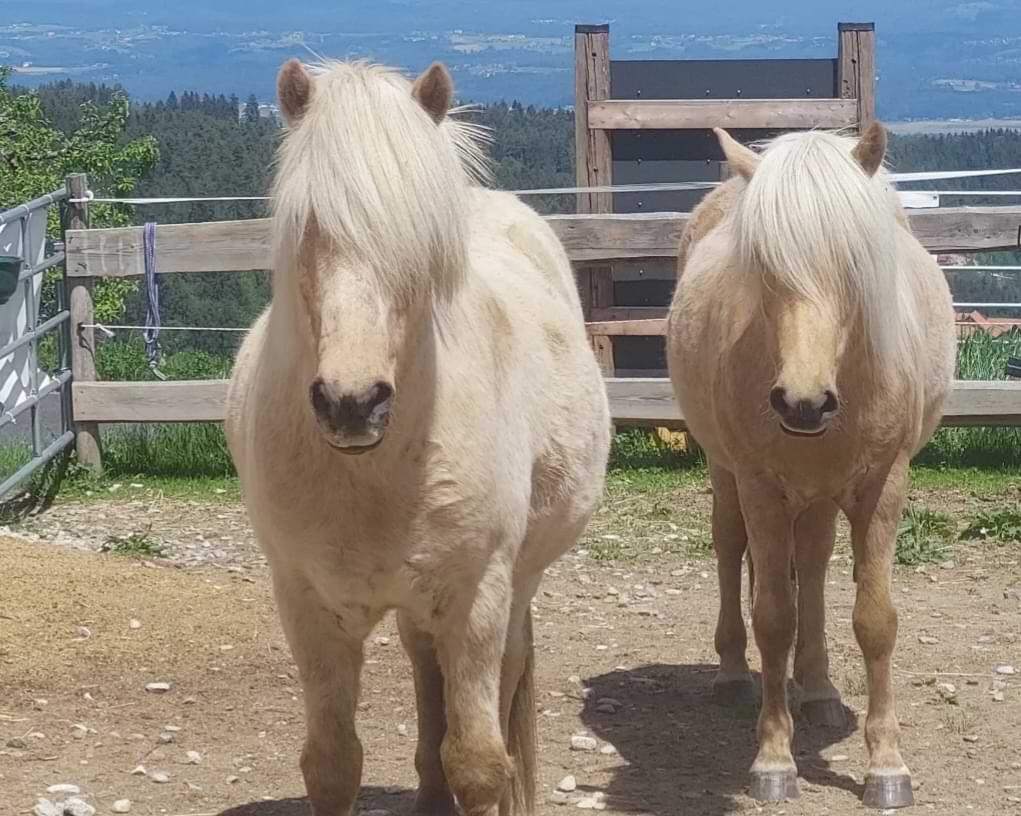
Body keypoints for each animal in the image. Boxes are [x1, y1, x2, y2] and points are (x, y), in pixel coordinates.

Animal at [227, 60, 608, 816]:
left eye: (418, 243)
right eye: (309, 229)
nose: (352, 404)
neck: (377, 475)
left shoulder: (476, 597)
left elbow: (479, 763)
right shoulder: (308, 605)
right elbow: (333, 763)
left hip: (513, 587)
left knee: (500, 687)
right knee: (425, 677)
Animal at [669, 123, 955, 808]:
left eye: (854, 266)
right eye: (764, 271)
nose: (803, 402)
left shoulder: (883, 485)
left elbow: (874, 621)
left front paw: (887, 767)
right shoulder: (761, 486)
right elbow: (773, 615)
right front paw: (774, 760)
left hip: (823, 494)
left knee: (817, 564)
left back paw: (819, 688)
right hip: (727, 474)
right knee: (730, 549)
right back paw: (732, 675)